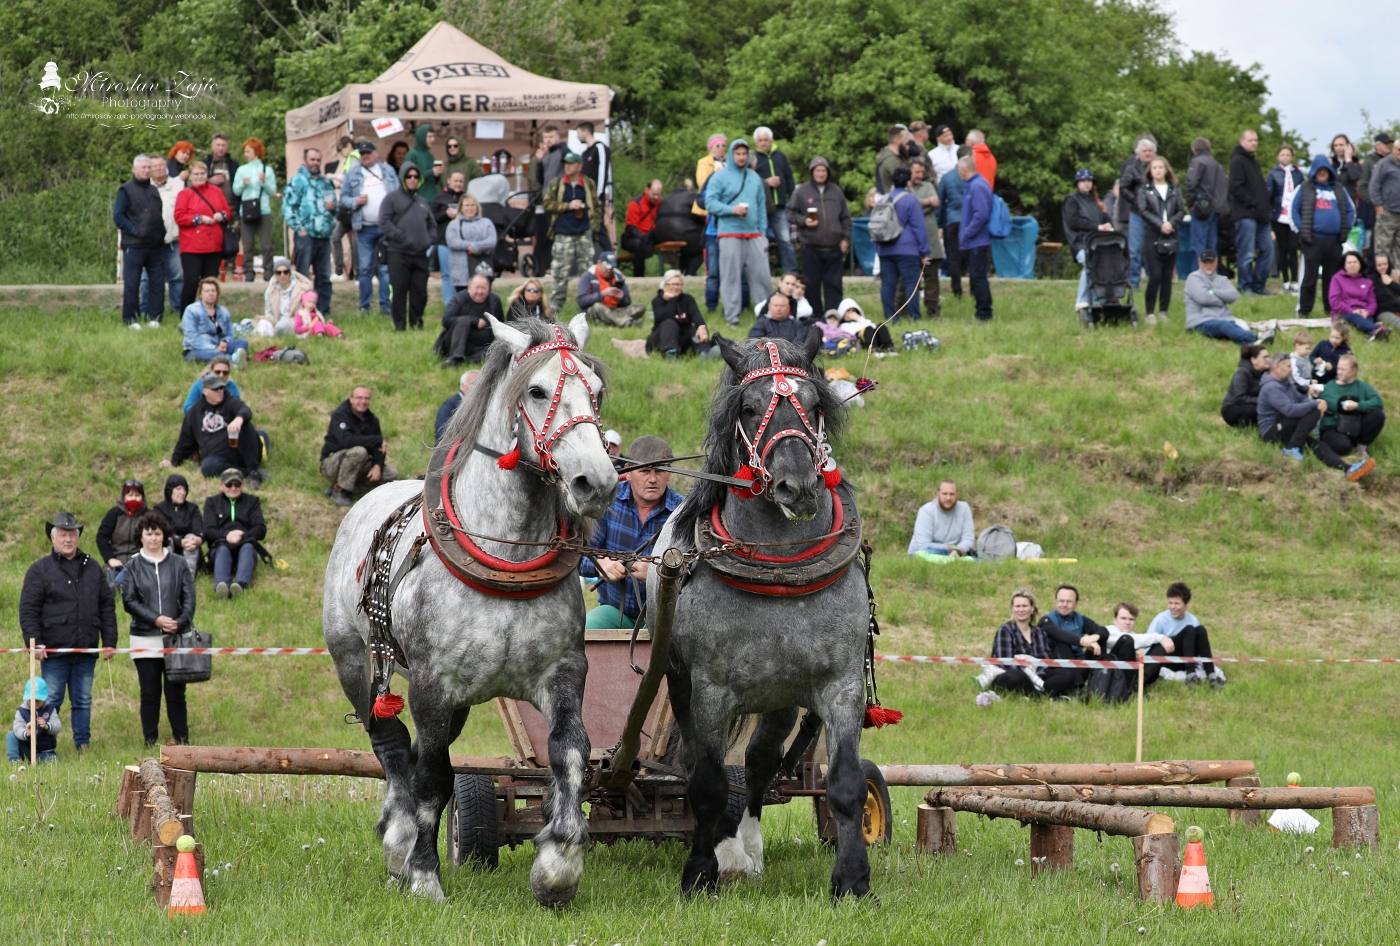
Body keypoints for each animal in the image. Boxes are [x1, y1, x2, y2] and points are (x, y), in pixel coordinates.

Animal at [326, 316, 618, 901]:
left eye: (596, 392)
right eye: (537, 391)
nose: (595, 482)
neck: (504, 554)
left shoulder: (563, 672)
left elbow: (570, 750)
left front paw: (558, 864)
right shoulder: (432, 686)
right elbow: (433, 777)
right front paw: (423, 874)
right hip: (356, 662)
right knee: (392, 745)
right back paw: (399, 839)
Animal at [646, 335, 873, 895]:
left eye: (814, 404)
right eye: (749, 408)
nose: (800, 486)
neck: (779, 568)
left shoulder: (841, 685)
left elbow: (845, 784)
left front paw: (852, 880)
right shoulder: (709, 690)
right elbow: (706, 784)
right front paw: (700, 872)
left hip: (779, 696)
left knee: (760, 761)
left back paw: (747, 844)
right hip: (682, 686)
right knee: (698, 764)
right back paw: (723, 849)